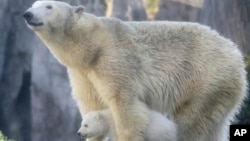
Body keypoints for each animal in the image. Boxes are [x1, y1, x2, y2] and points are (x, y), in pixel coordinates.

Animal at [23, 0, 246, 140]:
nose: (27, 14)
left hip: (205, 79)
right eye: (33, 4)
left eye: (49, 6)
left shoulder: (113, 60)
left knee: (192, 123)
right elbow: (91, 102)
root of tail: (236, 54)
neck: (91, 46)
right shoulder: (82, 73)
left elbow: (125, 103)